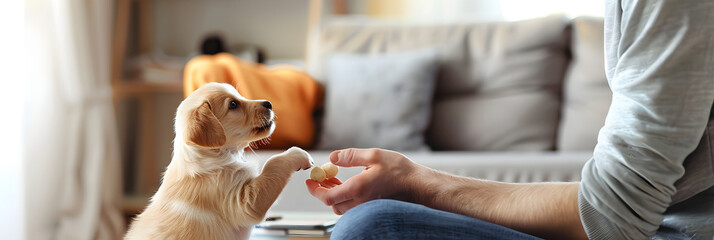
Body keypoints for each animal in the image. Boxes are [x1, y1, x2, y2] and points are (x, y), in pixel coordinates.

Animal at [124, 83, 312, 240]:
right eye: (233, 105)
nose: (269, 103)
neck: (213, 154)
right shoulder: (242, 201)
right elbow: (273, 162)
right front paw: (297, 154)